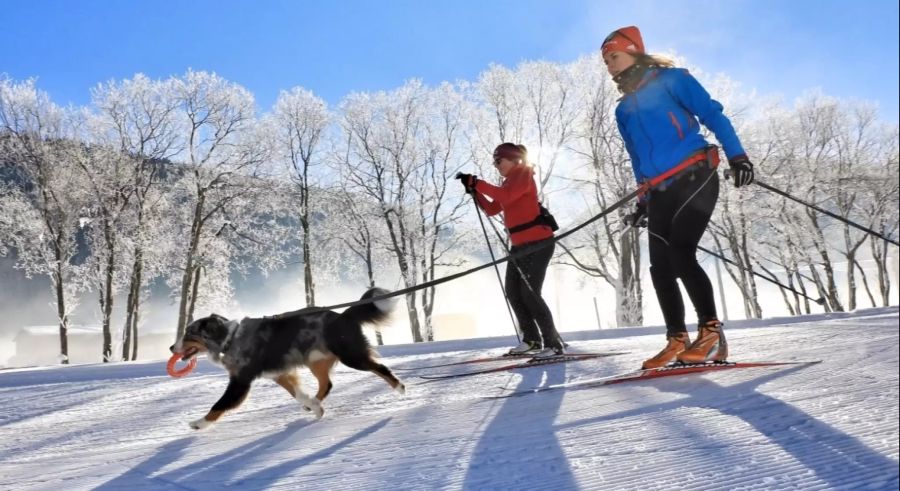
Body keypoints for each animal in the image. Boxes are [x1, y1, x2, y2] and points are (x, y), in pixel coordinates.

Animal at [168, 288, 404, 430]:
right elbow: (298, 394)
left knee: (379, 367)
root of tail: (343, 315)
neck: (229, 339)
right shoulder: (280, 374)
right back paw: (316, 403)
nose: (171, 347)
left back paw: (400, 387)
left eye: (189, 333)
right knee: (327, 383)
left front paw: (199, 423)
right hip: (315, 360)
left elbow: (220, 404)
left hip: (350, 355)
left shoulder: (240, 381)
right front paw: (315, 407)